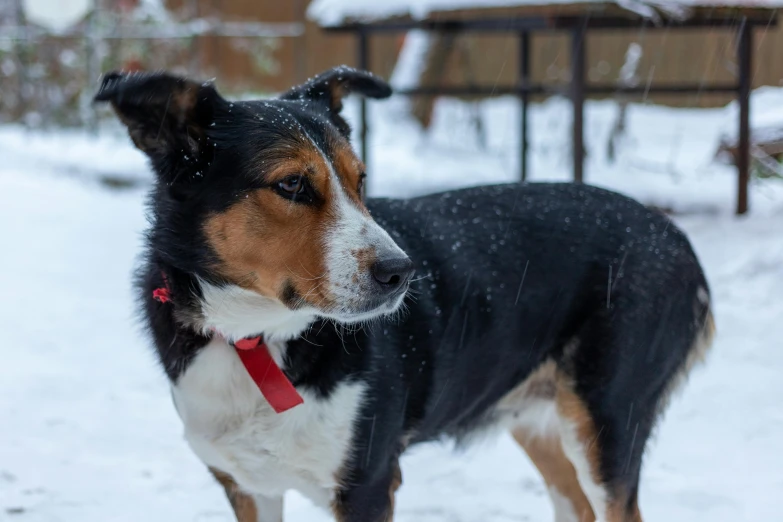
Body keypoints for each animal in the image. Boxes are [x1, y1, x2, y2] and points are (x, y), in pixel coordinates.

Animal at [95, 66, 712, 520]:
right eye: (291, 184)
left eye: (361, 181)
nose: (402, 273)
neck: (255, 341)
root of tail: (675, 236)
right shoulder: (249, 485)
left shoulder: (367, 484)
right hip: (539, 423)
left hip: (605, 421)